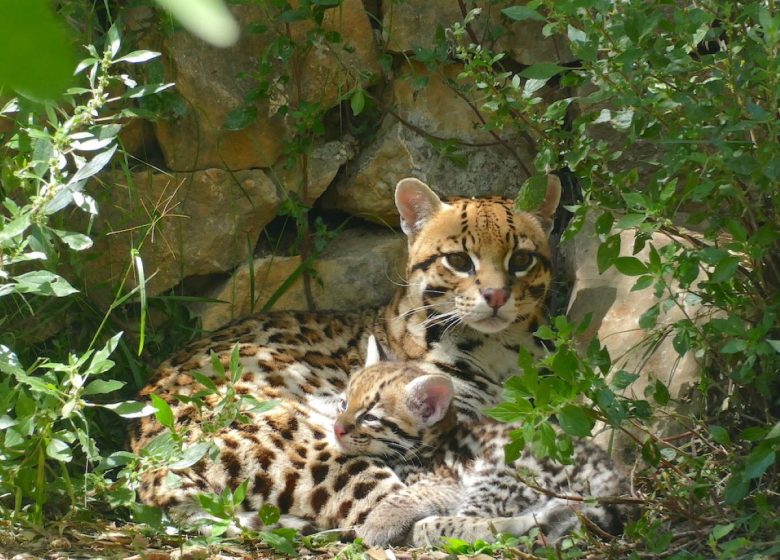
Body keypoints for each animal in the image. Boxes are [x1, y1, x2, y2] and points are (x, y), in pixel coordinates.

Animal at [133, 175, 560, 532]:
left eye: (521, 260)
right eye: (457, 260)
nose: (496, 296)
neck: (499, 350)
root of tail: (152, 469)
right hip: (316, 443)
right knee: (395, 520)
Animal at [336, 336, 628, 548]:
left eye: (369, 417)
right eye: (343, 404)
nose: (337, 428)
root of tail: (613, 485)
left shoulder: (446, 484)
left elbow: (406, 495)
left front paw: (379, 522)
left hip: (502, 472)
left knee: (484, 526)